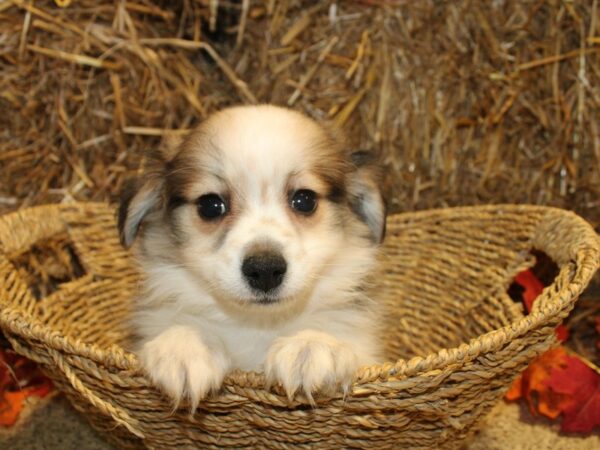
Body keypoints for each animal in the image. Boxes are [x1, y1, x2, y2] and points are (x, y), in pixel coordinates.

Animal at [119, 104, 386, 408]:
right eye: (210, 205)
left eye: (305, 199)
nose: (265, 270)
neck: (257, 325)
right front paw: (183, 346)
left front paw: (312, 345)